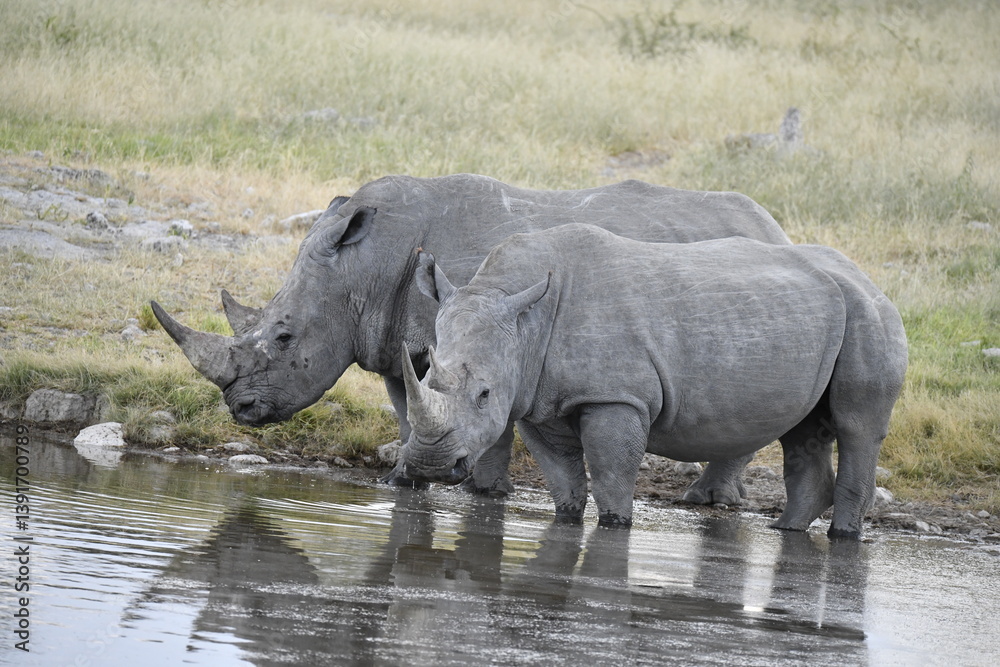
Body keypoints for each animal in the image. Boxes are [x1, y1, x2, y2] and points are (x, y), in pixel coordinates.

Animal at [150, 174, 791, 500]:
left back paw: (707, 501)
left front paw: (483, 491)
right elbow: (408, 410)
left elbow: (489, 422)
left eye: (284, 338)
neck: (365, 267)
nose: (240, 409)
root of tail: (774, 225)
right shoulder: (399, 344)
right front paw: (406, 479)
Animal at [400, 224, 907, 538]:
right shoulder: (536, 399)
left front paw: (615, 525)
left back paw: (843, 536)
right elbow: (562, 475)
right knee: (803, 430)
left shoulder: (617, 397)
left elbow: (610, 472)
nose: (429, 465)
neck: (521, 312)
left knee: (857, 426)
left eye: (484, 395)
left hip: (869, 313)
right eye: (425, 375)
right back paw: (786, 531)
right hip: (810, 318)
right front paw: (568, 520)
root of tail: (868, 277)